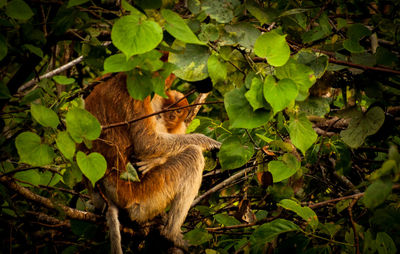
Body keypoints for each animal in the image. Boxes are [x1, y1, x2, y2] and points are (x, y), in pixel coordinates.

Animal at [84, 72, 220, 253]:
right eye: (170, 109)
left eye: (178, 111)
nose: (171, 115)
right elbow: (147, 142)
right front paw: (207, 141)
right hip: (143, 195)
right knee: (193, 155)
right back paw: (171, 234)